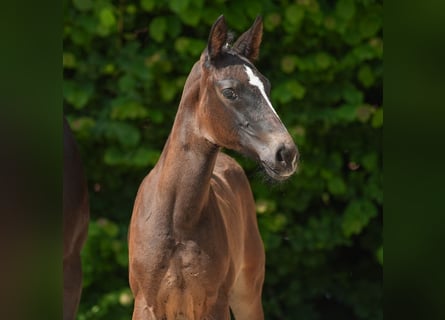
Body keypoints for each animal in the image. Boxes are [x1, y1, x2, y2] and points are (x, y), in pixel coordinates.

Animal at [128, 15, 298, 320]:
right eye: (229, 92)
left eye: (266, 87)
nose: (286, 153)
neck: (178, 220)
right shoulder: (145, 304)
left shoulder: (214, 303)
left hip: (247, 295)